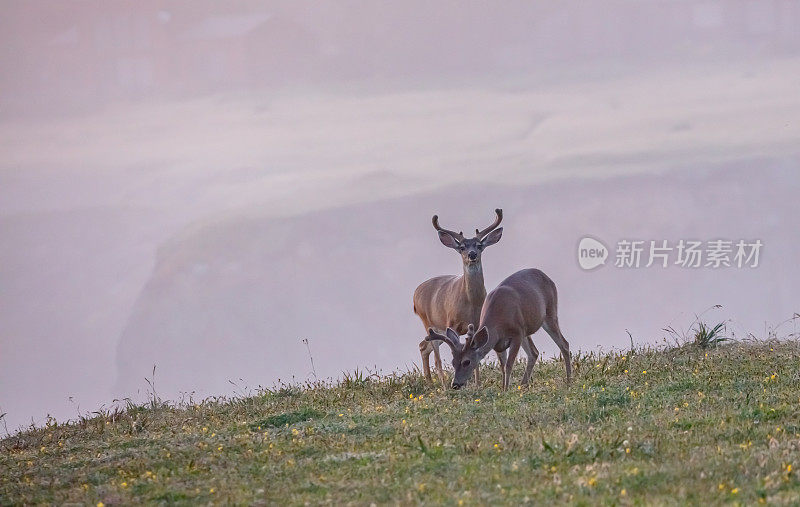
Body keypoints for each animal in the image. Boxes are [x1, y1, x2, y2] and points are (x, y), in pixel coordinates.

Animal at [416, 208, 504, 386]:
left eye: (479, 245)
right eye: (462, 247)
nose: (472, 254)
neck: (471, 303)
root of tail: (415, 294)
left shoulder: (477, 324)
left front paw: (477, 383)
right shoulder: (451, 323)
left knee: (423, 346)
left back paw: (429, 381)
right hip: (429, 322)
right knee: (435, 356)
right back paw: (442, 385)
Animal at [428, 268, 572, 390]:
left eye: (466, 362)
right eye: (453, 362)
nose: (455, 384)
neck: (498, 324)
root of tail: (547, 277)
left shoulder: (516, 334)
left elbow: (509, 365)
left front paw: (506, 389)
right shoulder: (498, 343)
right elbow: (503, 367)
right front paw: (504, 389)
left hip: (550, 313)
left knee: (564, 344)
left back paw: (568, 381)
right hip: (526, 330)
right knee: (534, 353)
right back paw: (523, 385)